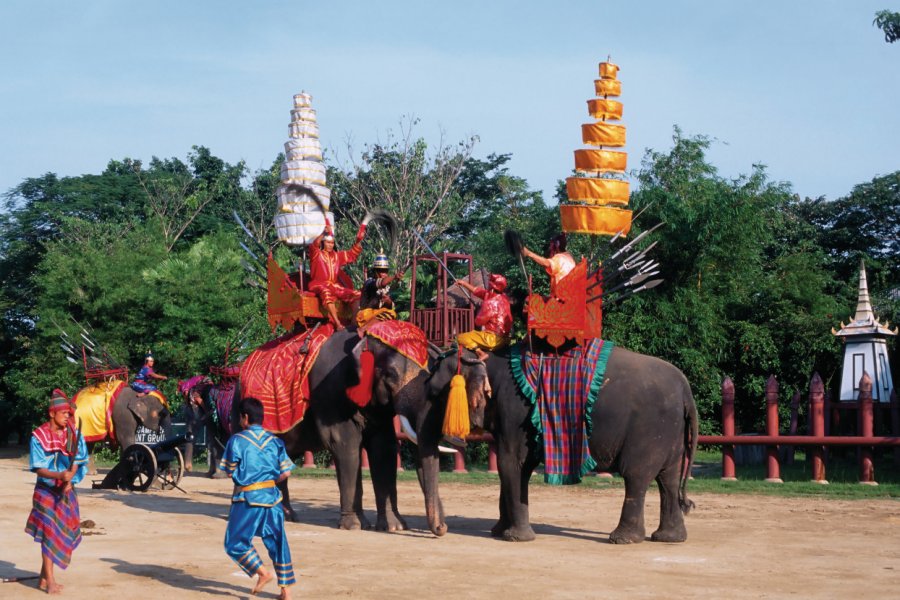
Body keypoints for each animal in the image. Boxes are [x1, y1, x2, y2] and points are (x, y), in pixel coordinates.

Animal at [234, 326, 486, 536]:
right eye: (391, 375)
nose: (443, 528)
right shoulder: (330, 393)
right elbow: (347, 447)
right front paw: (354, 526)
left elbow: (383, 450)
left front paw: (394, 527)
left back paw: (286, 516)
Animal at [440, 342, 700, 544]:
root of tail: (685, 389)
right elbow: (512, 468)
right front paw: (498, 532)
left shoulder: (515, 412)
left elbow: (513, 463)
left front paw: (514, 538)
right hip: (671, 433)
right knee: (669, 478)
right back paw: (670, 538)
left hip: (648, 429)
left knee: (636, 476)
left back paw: (622, 539)